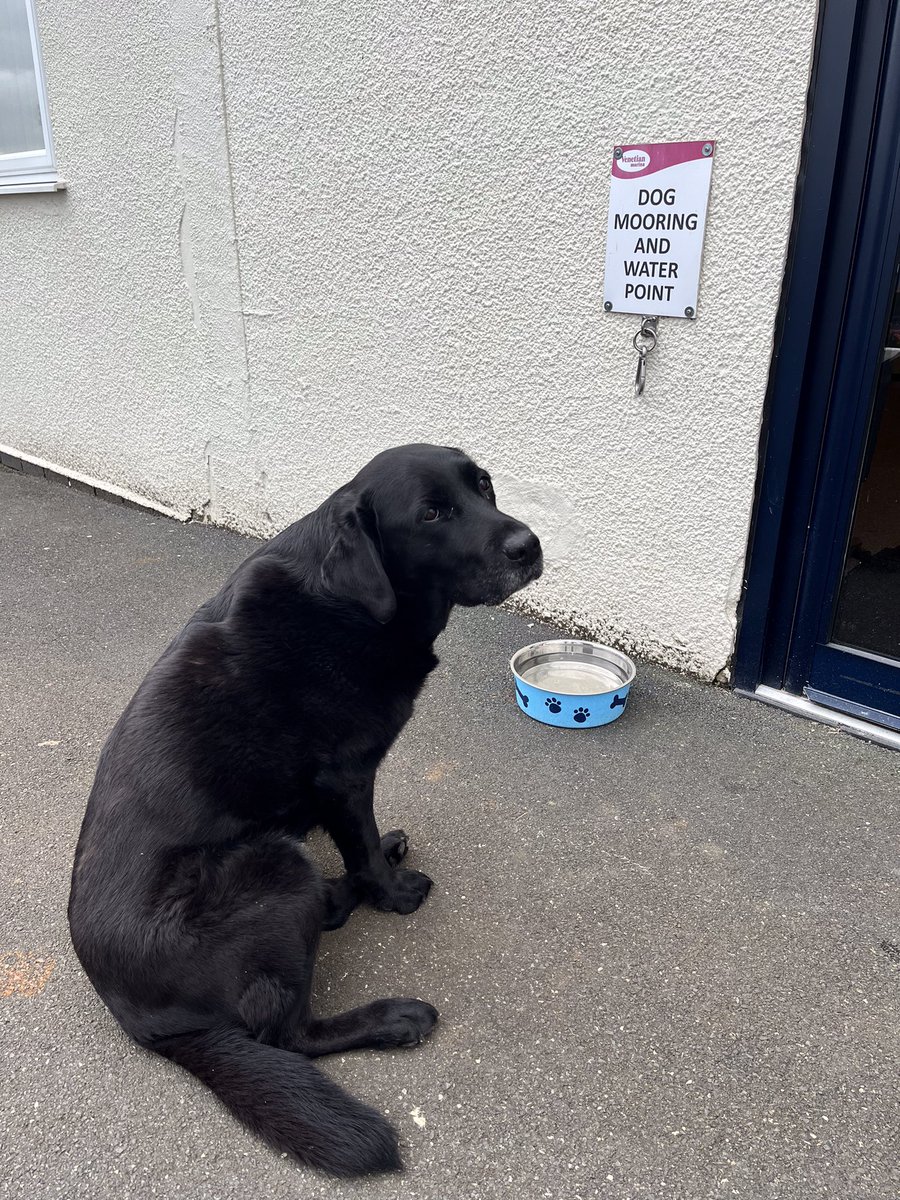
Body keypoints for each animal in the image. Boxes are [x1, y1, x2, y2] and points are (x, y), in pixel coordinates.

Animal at [68, 441, 542, 1171]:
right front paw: (392, 893)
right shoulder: (347, 776)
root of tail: (147, 1026)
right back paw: (390, 1014)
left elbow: (364, 841)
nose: (530, 545)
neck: (355, 601)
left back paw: (336, 897)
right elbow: (363, 845)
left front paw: (380, 867)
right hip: (274, 871)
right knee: (288, 1035)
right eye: (432, 514)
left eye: (483, 484)